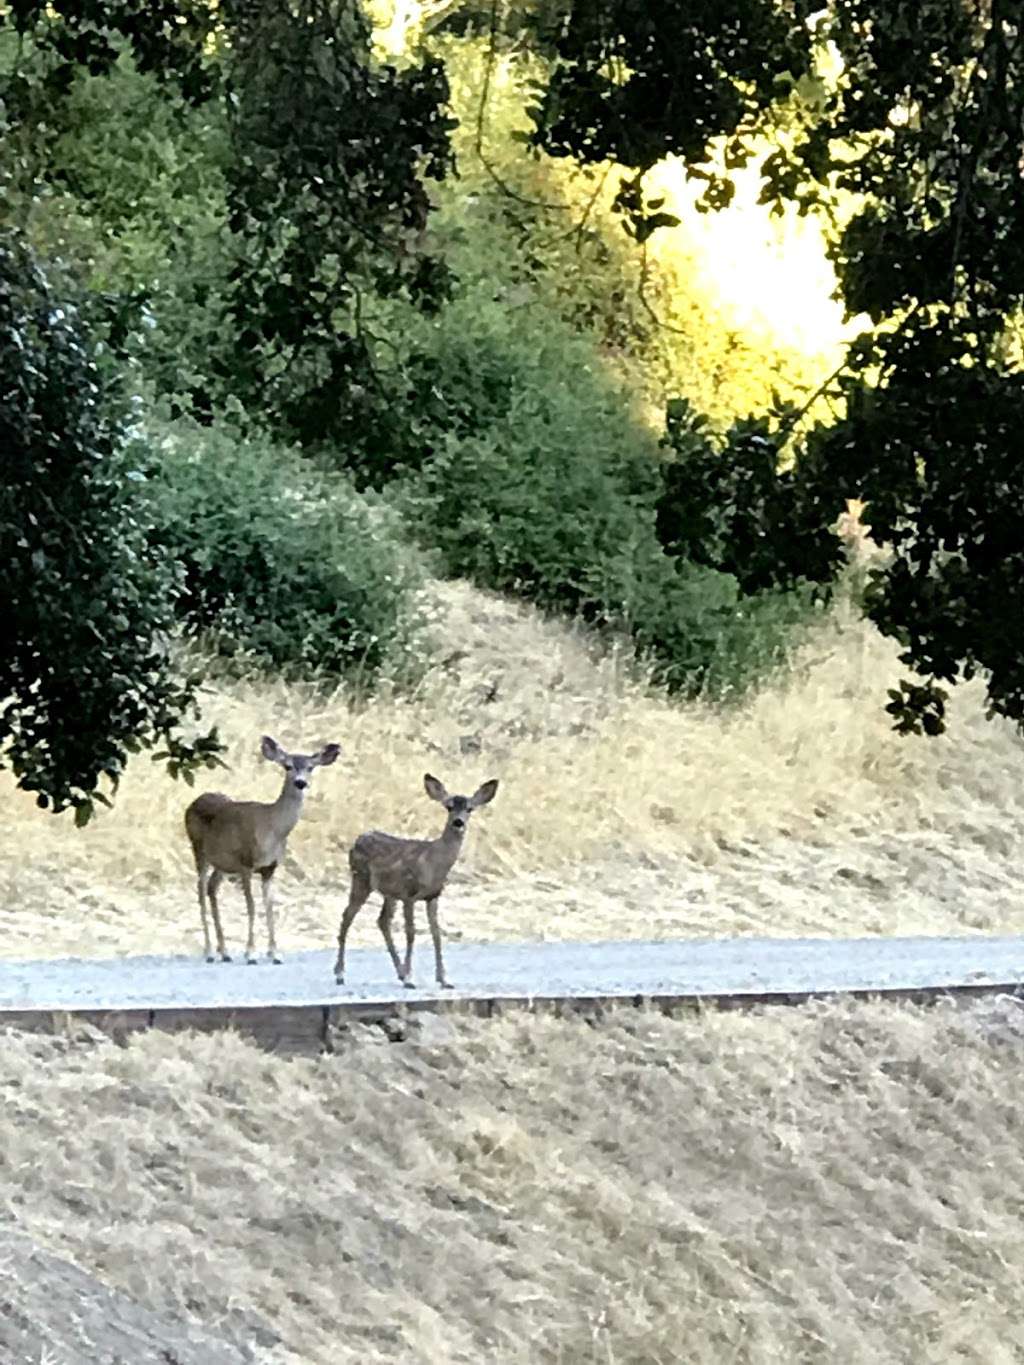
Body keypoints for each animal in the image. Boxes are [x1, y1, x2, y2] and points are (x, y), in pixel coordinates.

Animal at [184, 731, 341, 966]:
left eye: (311, 767)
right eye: (287, 766)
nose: (300, 783)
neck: (273, 829)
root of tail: (193, 802)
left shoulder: (269, 869)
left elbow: (269, 908)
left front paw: (275, 954)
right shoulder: (246, 864)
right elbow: (252, 907)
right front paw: (251, 953)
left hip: (222, 862)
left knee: (212, 888)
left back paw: (225, 951)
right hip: (199, 850)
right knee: (201, 891)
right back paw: (210, 951)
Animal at [334, 780, 499, 993]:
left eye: (469, 808)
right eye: (449, 807)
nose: (458, 822)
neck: (433, 863)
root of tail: (358, 839)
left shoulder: (433, 896)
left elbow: (436, 933)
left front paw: (444, 979)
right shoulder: (409, 894)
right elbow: (411, 933)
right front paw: (410, 978)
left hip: (389, 893)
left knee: (382, 921)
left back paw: (399, 972)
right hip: (360, 878)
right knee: (347, 916)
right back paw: (340, 974)